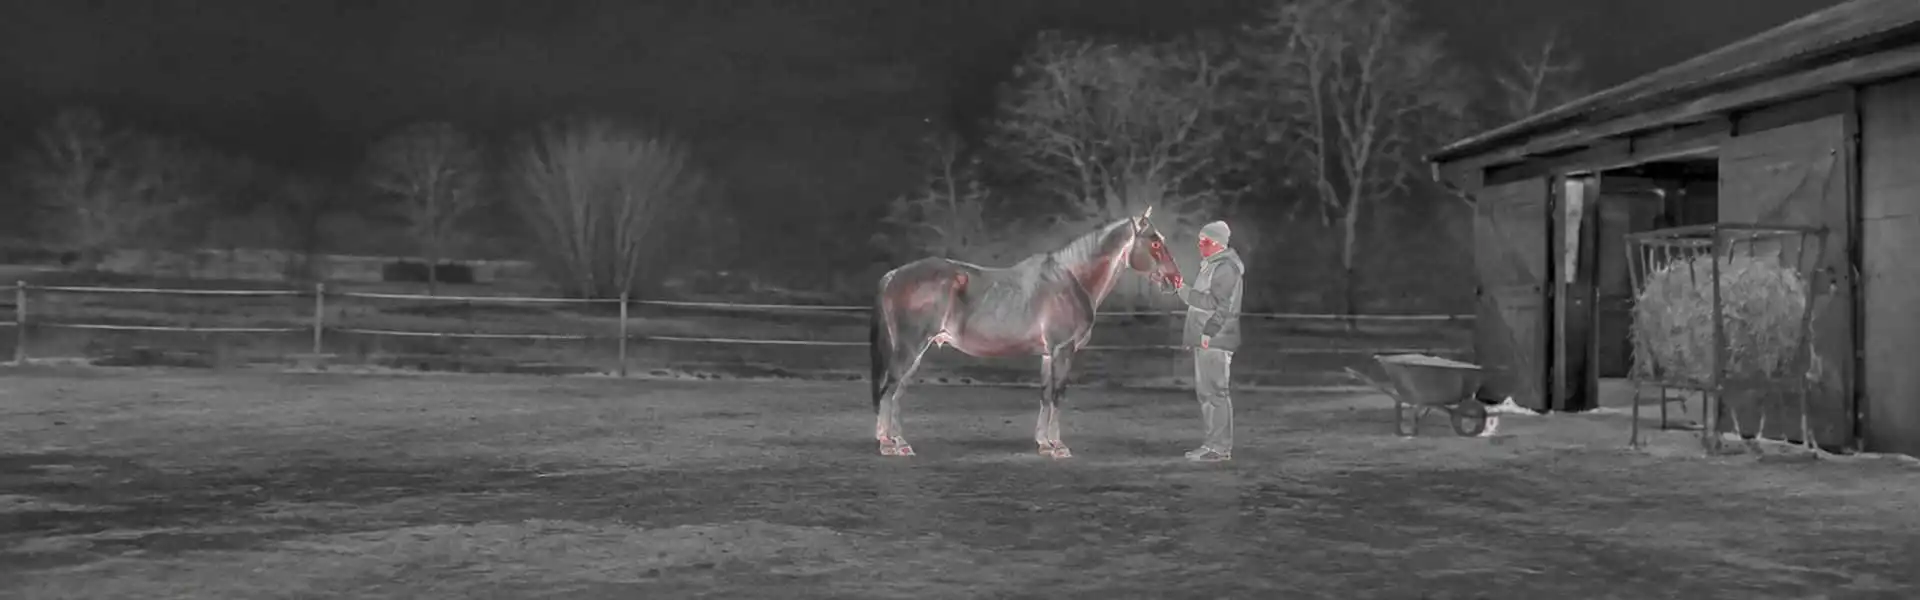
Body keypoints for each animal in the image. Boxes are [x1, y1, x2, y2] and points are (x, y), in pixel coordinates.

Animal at [868, 207, 1185, 459]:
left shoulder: (1047, 354)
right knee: (889, 389)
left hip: (916, 350)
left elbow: (1045, 396)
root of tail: (893, 276)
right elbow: (1057, 395)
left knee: (897, 392)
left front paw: (1044, 444)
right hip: (911, 347)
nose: (1177, 279)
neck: (1073, 280)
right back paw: (888, 444)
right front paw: (1058, 447)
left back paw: (900, 442)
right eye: (1155, 242)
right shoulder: (1063, 350)